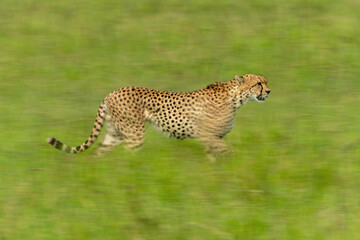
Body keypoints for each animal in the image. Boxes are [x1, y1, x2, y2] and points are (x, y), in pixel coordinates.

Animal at [49, 73, 272, 159]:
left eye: (265, 82)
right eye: (258, 83)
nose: (269, 91)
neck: (236, 98)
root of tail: (111, 92)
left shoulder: (213, 138)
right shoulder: (208, 136)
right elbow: (231, 153)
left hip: (115, 133)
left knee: (99, 154)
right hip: (134, 133)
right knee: (129, 155)